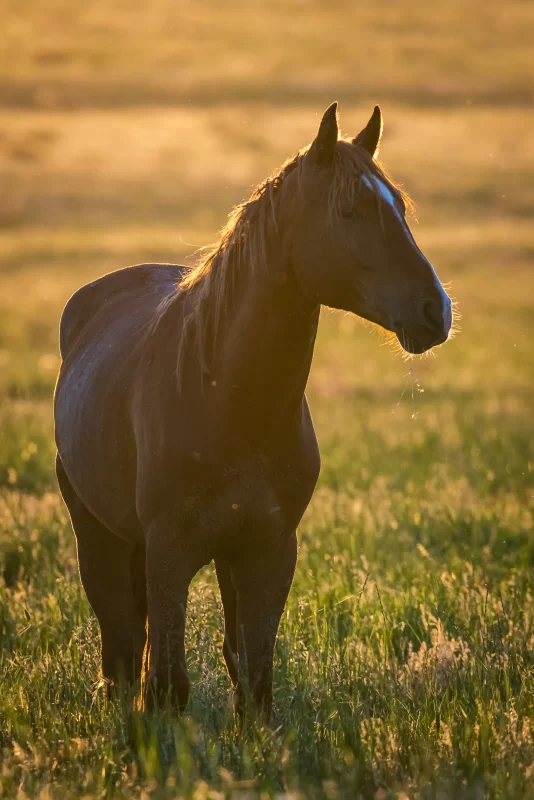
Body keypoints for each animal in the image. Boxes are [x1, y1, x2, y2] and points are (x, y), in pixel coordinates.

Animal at [54, 102, 452, 717]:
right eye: (349, 210)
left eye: (401, 208)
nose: (436, 311)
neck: (225, 399)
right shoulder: (168, 551)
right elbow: (166, 685)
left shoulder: (269, 550)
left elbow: (256, 684)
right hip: (98, 535)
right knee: (119, 646)